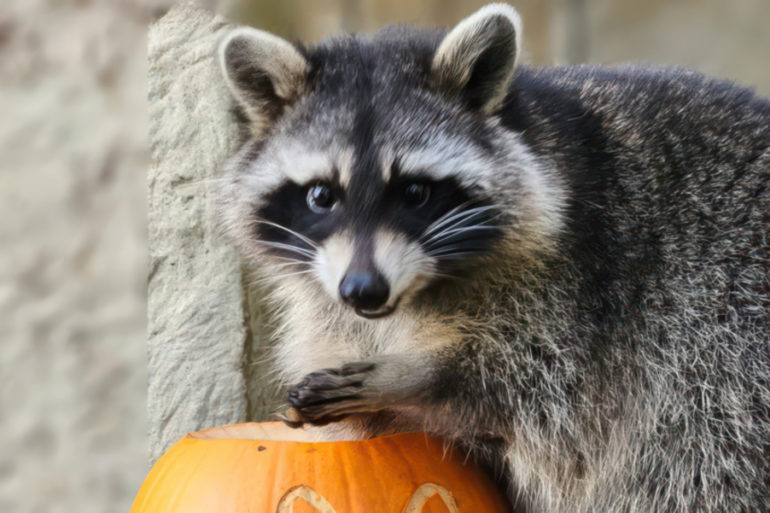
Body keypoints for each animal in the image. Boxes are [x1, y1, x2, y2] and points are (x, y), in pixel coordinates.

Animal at [214, 4, 768, 512]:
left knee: (694, 454)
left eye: (415, 192)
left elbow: (537, 383)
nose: (364, 290)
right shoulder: (332, 307)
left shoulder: (586, 287)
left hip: (727, 346)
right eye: (321, 196)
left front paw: (414, 376)